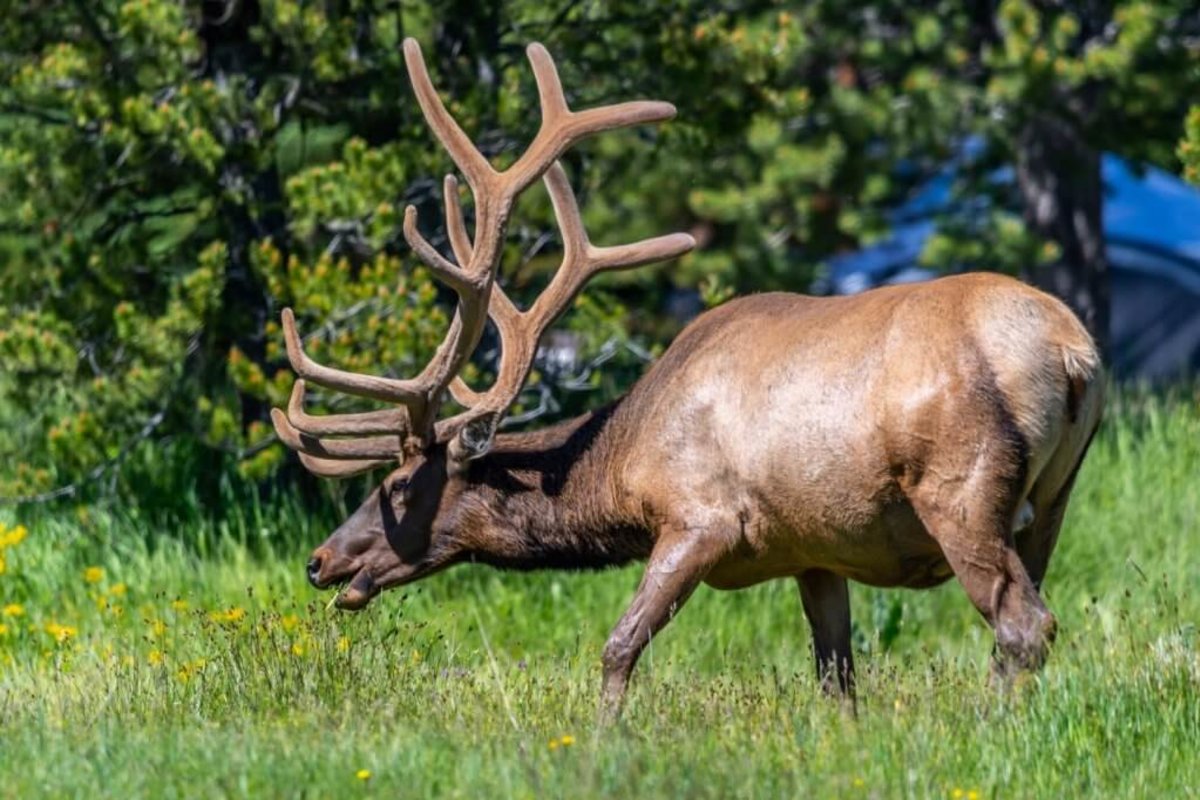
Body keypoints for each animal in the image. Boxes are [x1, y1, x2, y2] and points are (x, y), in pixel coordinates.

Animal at [270, 38, 1105, 715]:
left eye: (396, 486)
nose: (319, 560)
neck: (618, 469)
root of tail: (1073, 351)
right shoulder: (815, 549)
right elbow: (836, 676)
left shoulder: (701, 517)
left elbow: (618, 648)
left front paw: (603, 742)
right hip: (1053, 500)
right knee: (1027, 615)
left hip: (961, 485)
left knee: (1022, 624)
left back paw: (989, 726)